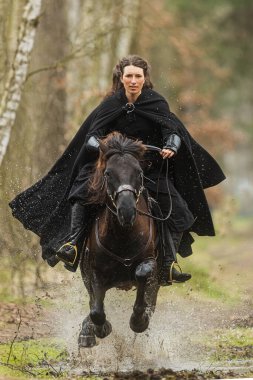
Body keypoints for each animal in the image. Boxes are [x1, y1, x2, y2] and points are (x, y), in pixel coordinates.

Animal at [78, 131, 161, 348]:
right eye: (108, 173)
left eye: (139, 172)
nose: (127, 211)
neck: (124, 236)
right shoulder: (95, 271)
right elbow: (96, 310)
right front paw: (100, 328)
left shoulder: (151, 263)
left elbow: (142, 274)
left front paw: (138, 321)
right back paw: (86, 332)